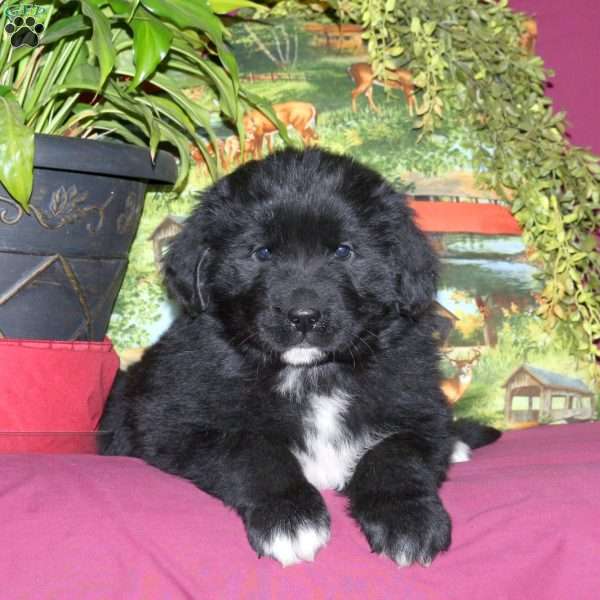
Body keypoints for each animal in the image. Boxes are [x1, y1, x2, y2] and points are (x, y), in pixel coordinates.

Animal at [101, 150, 500, 568]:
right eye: (262, 252)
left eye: (343, 251)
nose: (304, 316)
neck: (312, 376)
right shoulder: (172, 419)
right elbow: (252, 449)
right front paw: (290, 517)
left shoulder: (419, 407)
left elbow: (395, 453)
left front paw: (408, 520)